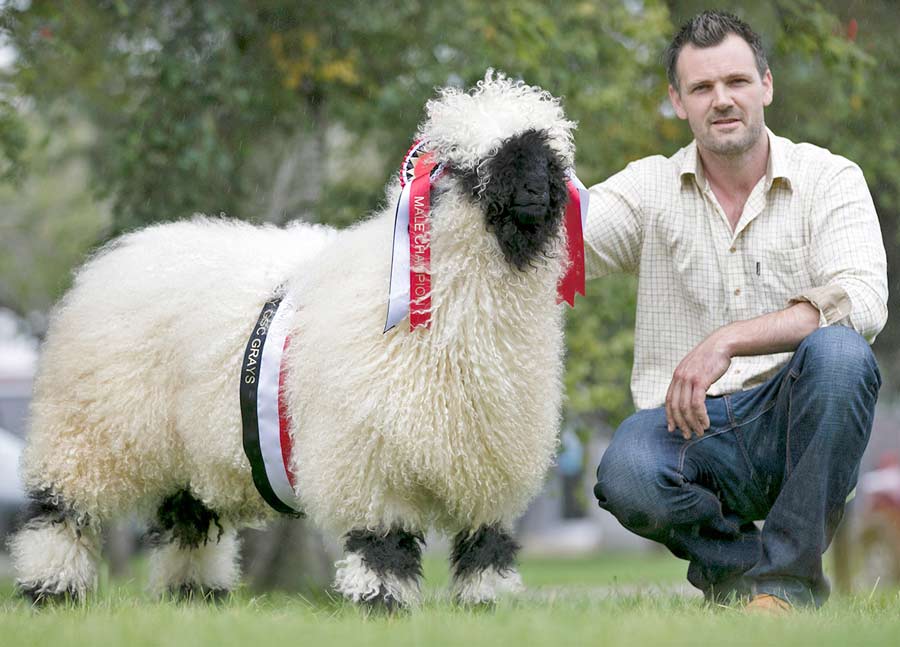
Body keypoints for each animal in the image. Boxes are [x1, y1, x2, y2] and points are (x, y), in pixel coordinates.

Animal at [12, 73, 584, 612]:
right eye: (475, 167)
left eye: (549, 161)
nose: (536, 192)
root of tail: (123, 251)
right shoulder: (369, 461)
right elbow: (384, 543)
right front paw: (383, 602)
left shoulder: (491, 461)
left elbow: (486, 544)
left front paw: (486, 605)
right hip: (89, 431)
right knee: (62, 511)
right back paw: (50, 587)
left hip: (186, 448)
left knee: (189, 516)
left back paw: (194, 594)